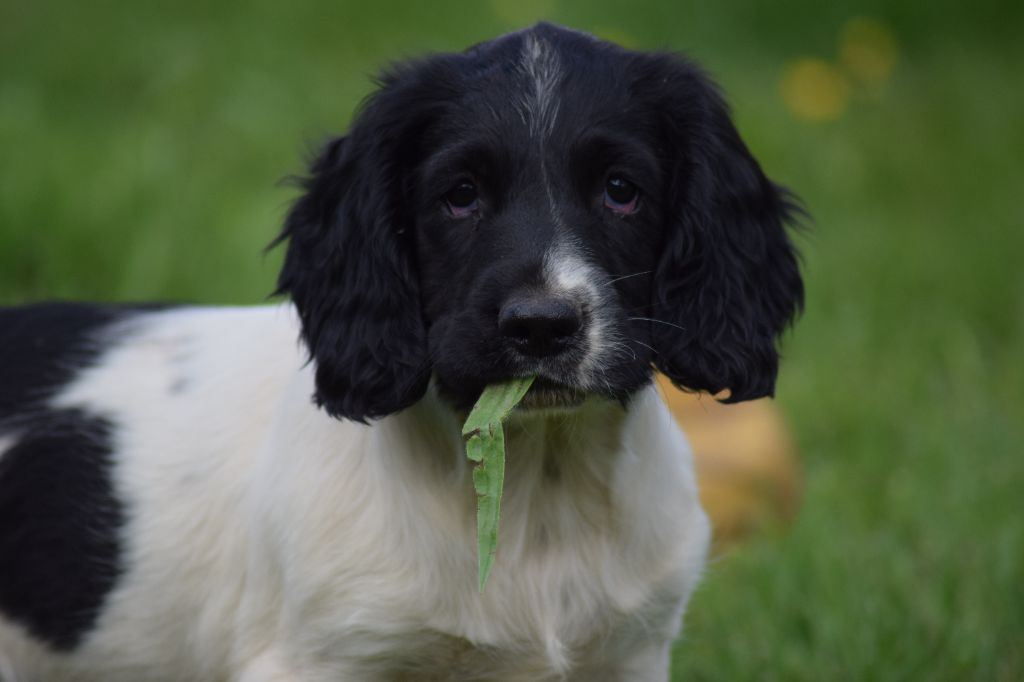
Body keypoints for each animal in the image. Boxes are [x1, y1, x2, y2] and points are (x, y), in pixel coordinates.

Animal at [0, 22, 798, 679]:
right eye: (460, 194)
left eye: (621, 190)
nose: (541, 326)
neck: (537, 491)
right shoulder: (318, 658)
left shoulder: (629, 652)